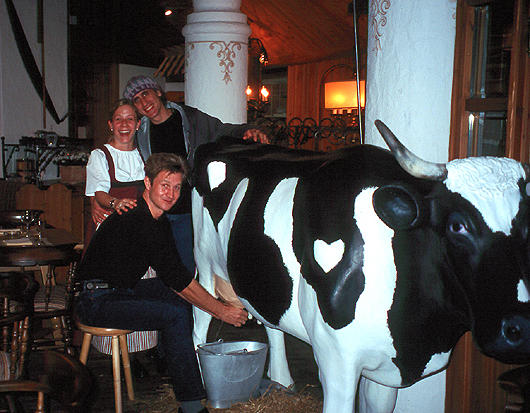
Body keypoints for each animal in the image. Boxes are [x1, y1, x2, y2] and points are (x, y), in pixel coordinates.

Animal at [192, 119, 528, 412]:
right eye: (457, 225)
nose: (519, 329)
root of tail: (223, 140)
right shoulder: (336, 361)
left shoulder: (386, 371)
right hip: (203, 261)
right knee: (200, 323)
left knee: (271, 322)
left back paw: (282, 383)